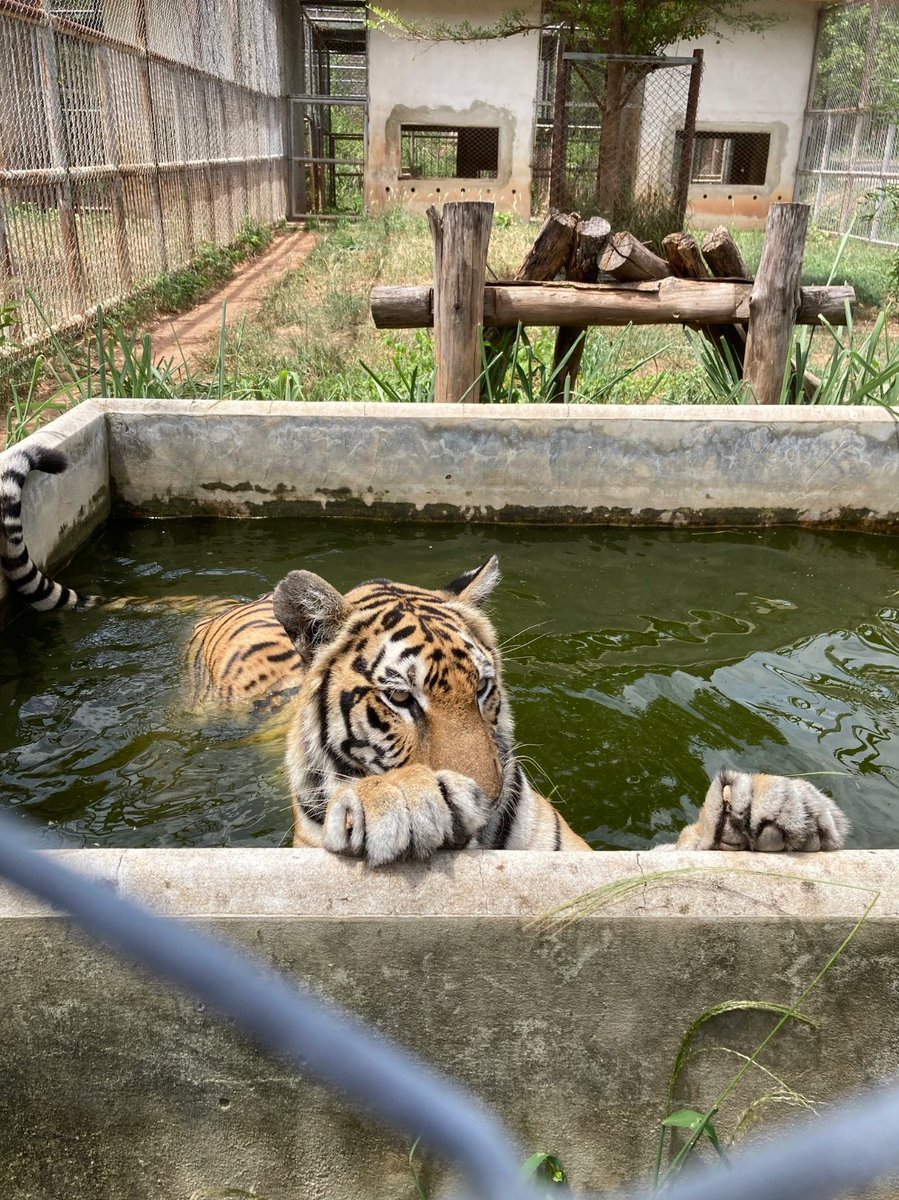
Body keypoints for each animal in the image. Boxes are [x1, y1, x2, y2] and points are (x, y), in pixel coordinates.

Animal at [0, 442, 850, 864]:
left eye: (484, 689)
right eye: (399, 698)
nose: (480, 800)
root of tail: (228, 601)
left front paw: (769, 809)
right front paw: (406, 803)